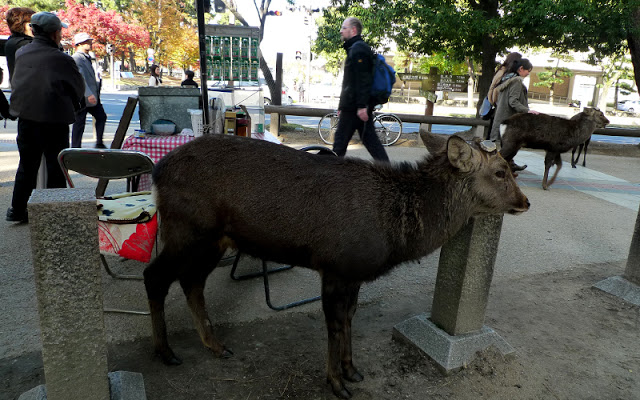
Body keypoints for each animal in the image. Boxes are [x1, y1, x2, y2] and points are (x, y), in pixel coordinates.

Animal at [145, 133, 528, 398]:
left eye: (510, 170)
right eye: (500, 172)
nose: (525, 200)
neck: (394, 236)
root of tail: (158, 171)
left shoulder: (354, 273)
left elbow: (349, 318)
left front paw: (352, 369)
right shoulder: (334, 266)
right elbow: (334, 324)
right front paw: (336, 382)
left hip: (214, 240)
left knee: (192, 281)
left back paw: (215, 345)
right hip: (188, 229)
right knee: (155, 276)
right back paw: (165, 351)